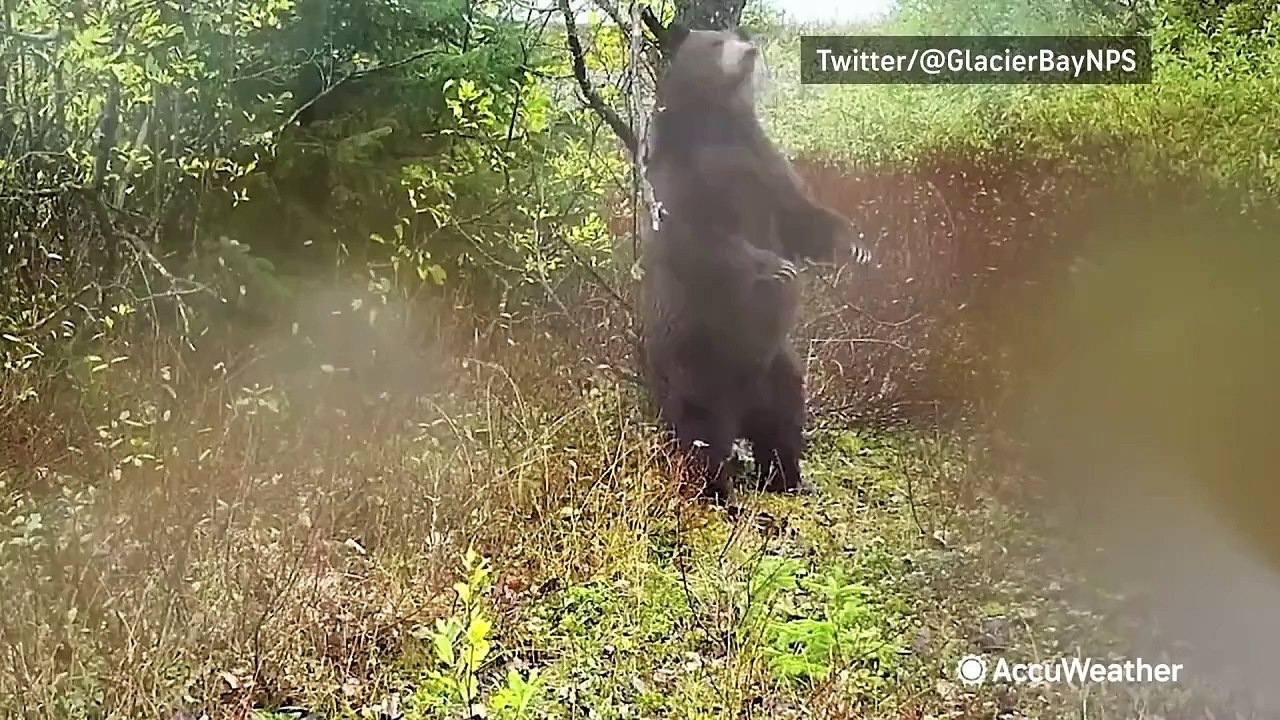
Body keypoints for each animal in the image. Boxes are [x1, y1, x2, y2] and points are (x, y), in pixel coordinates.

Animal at [636, 19, 870, 507]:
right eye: (715, 42)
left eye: (736, 35)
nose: (749, 52)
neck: (717, 123)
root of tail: (743, 406)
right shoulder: (682, 177)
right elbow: (698, 237)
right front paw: (774, 268)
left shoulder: (763, 161)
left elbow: (800, 213)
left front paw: (855, 246)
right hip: (699, 363)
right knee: (702, 434)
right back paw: (718, 494)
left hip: (776, 365)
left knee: (784, 417)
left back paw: (789, 478)